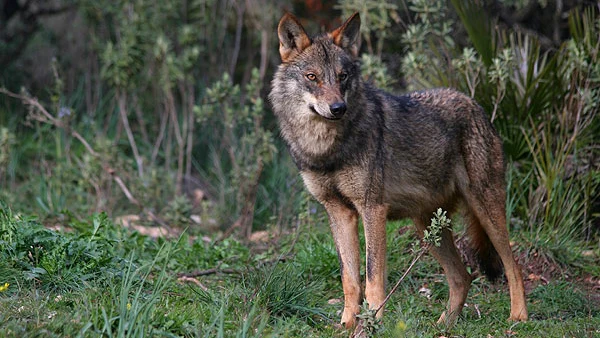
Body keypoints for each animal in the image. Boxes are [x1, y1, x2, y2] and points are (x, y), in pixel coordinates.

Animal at [270, 12, 528, 328]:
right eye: (312, 77)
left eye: (343, 76)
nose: (338, 107)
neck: (325, 149)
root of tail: (476, 105)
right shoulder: (339, 212)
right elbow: (349, 279)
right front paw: (347, 325)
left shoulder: (372, 209)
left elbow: (372, 278)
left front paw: (372, 324)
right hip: (428, 227)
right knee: (462, 277)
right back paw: (443, 325)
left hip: (484, 209)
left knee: (513, 266)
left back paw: (518, 317)